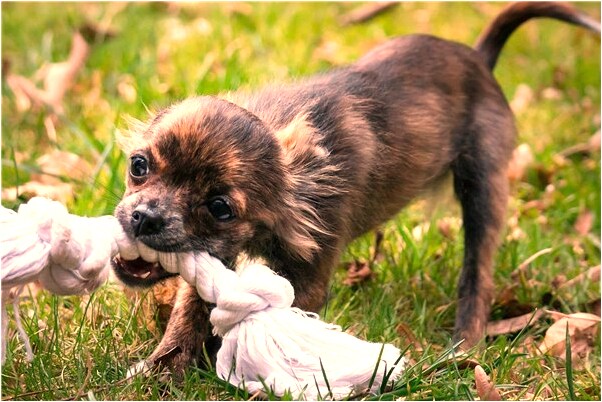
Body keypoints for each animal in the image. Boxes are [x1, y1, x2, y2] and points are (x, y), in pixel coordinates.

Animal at [111, 1, 596, 376]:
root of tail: (478, 59)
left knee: (478, 272)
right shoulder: (213, 260)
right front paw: (163, 371)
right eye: (139, 166)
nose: (144, 217)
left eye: (219, 207)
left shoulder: (307, 276)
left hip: (485, 188)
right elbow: (189, 312)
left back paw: (464, 345)